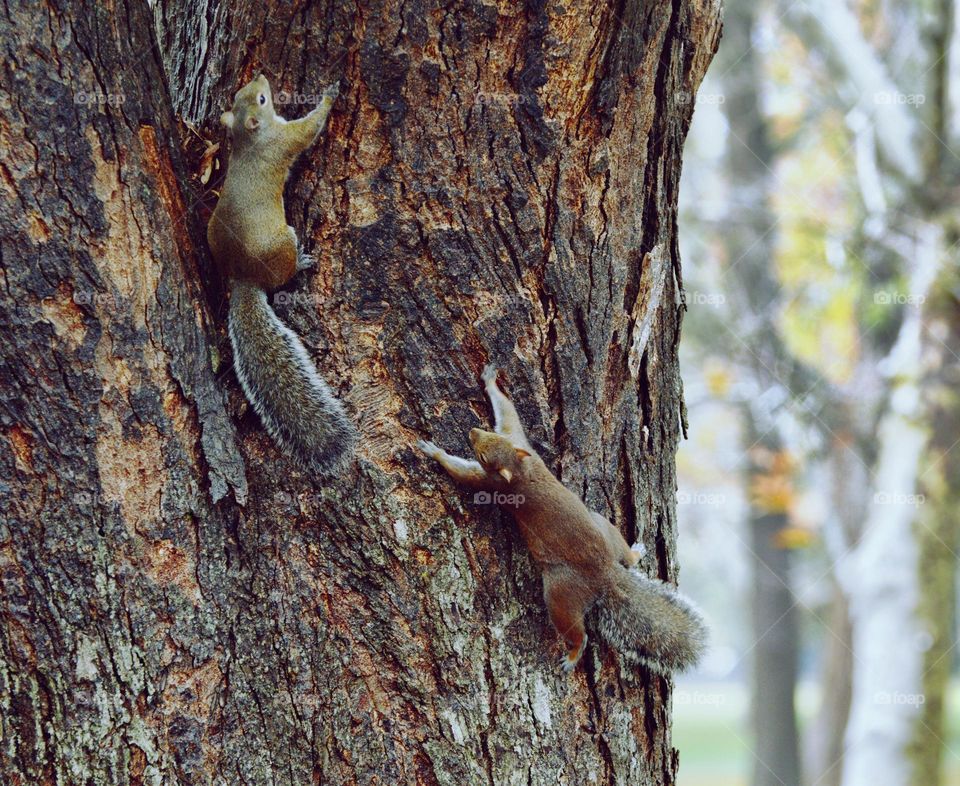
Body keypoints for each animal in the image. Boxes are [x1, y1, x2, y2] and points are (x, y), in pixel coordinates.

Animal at [207, 74, 358, 474]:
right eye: (262, 99)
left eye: (244, 94)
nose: (261, 76)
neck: (249, 141)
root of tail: (242, 278)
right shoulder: (286, 139)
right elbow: (309, 129)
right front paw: (329, 95)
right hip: (283, 243)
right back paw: (301, 263)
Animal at [417, 365, 707, 674]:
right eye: (490, 437)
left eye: (484, 455)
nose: (473, 430)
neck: (520, 468)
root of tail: (606, 574)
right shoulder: (521, 443)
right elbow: (509, 415)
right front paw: (491, 381)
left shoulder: (491, 483)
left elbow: (465, 473)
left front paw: (434, 452)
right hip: (603, 525)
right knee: (624, 555)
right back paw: (635, 553)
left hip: (561, 594)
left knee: (577, 631)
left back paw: (573, 654)